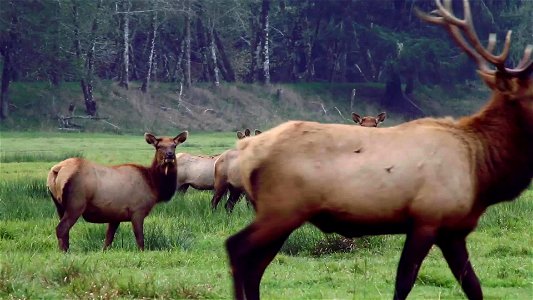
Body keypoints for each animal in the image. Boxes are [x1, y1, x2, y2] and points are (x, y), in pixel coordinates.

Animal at [46, 131, 187, 251]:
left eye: (174, 146)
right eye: (159, 146)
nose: (169, 155)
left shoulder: (115, 215)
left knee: (65, 230)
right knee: (61, 229)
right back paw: (65, 252)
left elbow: (108, 239)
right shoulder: (137, 210)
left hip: (59, 205)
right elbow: (140, 239)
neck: (154, 186)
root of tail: (57, 170)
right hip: (76, 203)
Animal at [223, 1, 532, 298]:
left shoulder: (454, 230)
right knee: (237, 249)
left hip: (280, 214)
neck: (481, 170)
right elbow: (404, 281)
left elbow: (473, 286)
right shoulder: (428, 217)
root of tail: (248, 149)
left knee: (255, 266)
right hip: (282, 207)